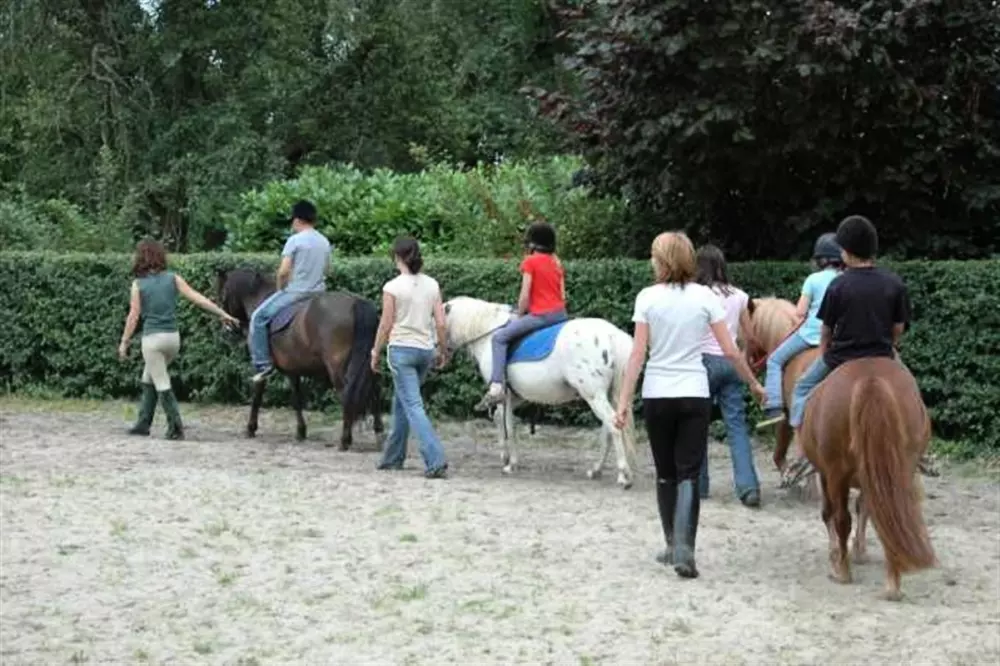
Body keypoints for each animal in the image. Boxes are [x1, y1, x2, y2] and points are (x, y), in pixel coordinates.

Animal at [215, 267, 384, 450]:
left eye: (222, 296)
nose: (227, 328)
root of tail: (356, 303)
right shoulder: (292, 369)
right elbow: (297, 399)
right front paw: (301, 431)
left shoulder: (262, 367)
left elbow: (257, 395)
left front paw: (251, 428)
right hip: (369, 362)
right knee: (374, 391)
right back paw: (379, 434)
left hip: (338, 367)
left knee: (347, 393)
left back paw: (345, 440)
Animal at [442, 296, 639, 488]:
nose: (440, 355)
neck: (488, 332)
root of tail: (613, 335)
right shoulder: (515, 397)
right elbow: (502, 419)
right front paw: (506, 457)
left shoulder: (503, 394)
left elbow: (507, 424)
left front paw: (510, 463)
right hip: (608, 395)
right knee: (609, 428)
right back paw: (596, 470)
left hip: (593, 395)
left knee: (613, 425)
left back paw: (624, 475)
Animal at [798, 356, 935, 600]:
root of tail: (871, 379)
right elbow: (867, 508)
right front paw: (859, 551)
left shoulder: (825, 473)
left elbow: (830, 513)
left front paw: (837, 553)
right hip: (901, 469)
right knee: (894, 516)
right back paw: (893, 584)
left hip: (837, 473)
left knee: (842, 518)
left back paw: (842, 572)